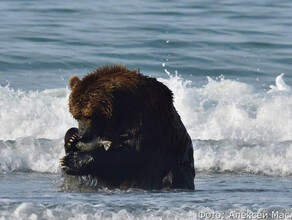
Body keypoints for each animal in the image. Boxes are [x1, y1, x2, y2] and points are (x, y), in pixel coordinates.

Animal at [59, 65, 195, 189]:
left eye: (89, 115)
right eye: (76, 116)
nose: (83, 135)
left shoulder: (146, 122)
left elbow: (130, 154)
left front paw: (71, 161)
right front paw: (71, 138)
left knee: (173, 173)